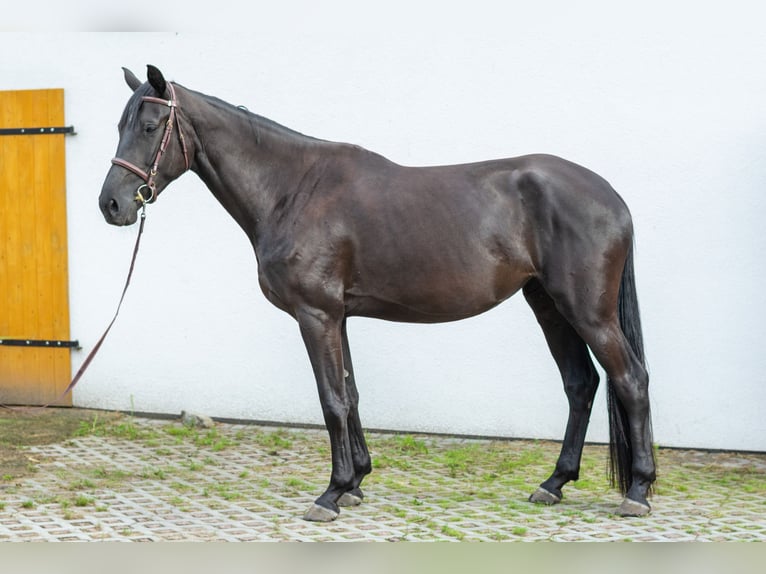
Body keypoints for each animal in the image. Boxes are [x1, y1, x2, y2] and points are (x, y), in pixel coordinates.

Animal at [99, 66, 656, 520]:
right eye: (120, 126)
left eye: (150, 127)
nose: (112, 204)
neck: (292, 189)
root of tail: (611, 196)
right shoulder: (338, 316)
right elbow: (350, 394)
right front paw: (356, 484)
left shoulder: (315, 314)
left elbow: (330, 400)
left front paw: (331, 492)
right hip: (549, 306)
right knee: (581, 384)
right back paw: (554, 483)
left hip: (587, 311)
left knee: (630, 379)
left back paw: (637, 491)